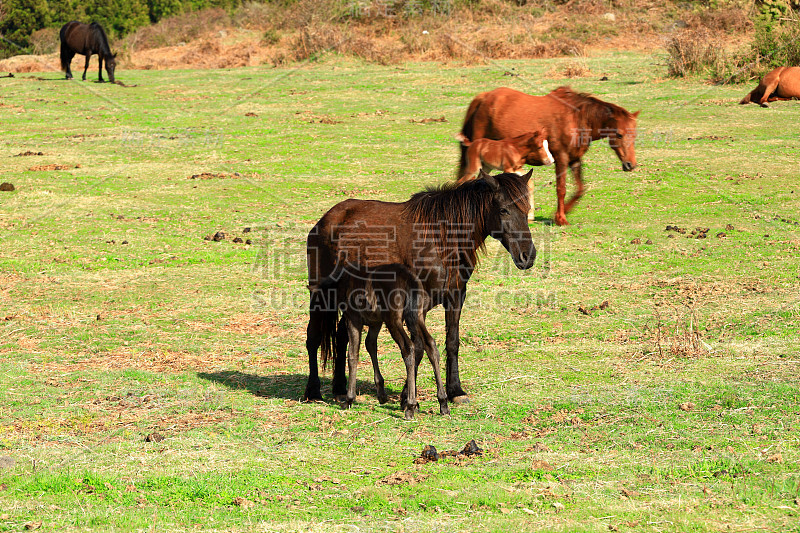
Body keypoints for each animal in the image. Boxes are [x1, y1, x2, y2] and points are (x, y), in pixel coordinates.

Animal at [306, 170, 536, 404]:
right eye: (504, 210)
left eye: (527, 209)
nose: (527, 256)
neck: (441, 239)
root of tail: (325, 221)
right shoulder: (417, 305)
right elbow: (417, 347)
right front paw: (407, 396)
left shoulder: (455, 295)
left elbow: (451, 342)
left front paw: (455, 391)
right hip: (320, 296)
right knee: (313, 337)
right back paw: (313, 391)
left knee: (341, 335)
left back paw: (340, 388)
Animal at [460, 84, 640, 224]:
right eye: (619, 135)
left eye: (634, 135)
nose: (630, 164)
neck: (577, 118)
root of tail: (483, 97)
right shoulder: (561, 158)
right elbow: (561, 189)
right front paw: (561, 218)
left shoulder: (575, 159)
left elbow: (580, 188)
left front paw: (562, 212)